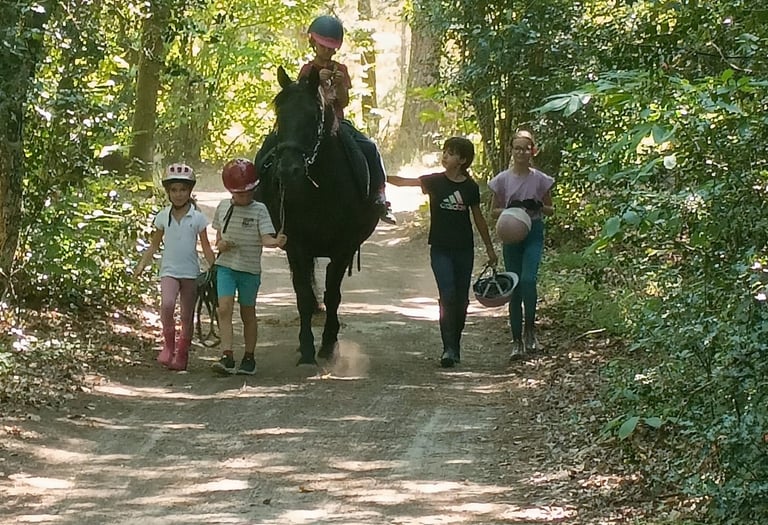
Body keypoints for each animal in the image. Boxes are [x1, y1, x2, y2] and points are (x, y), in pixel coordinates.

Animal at [255, 66, 379, 365]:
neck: (319, 187)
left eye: (313, 116)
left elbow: (333, 294)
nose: (287, 171)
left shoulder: (343, 248)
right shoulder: (296, 244)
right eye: (279, 115)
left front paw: (328, 344)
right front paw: (307, 349)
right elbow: (302, 294)